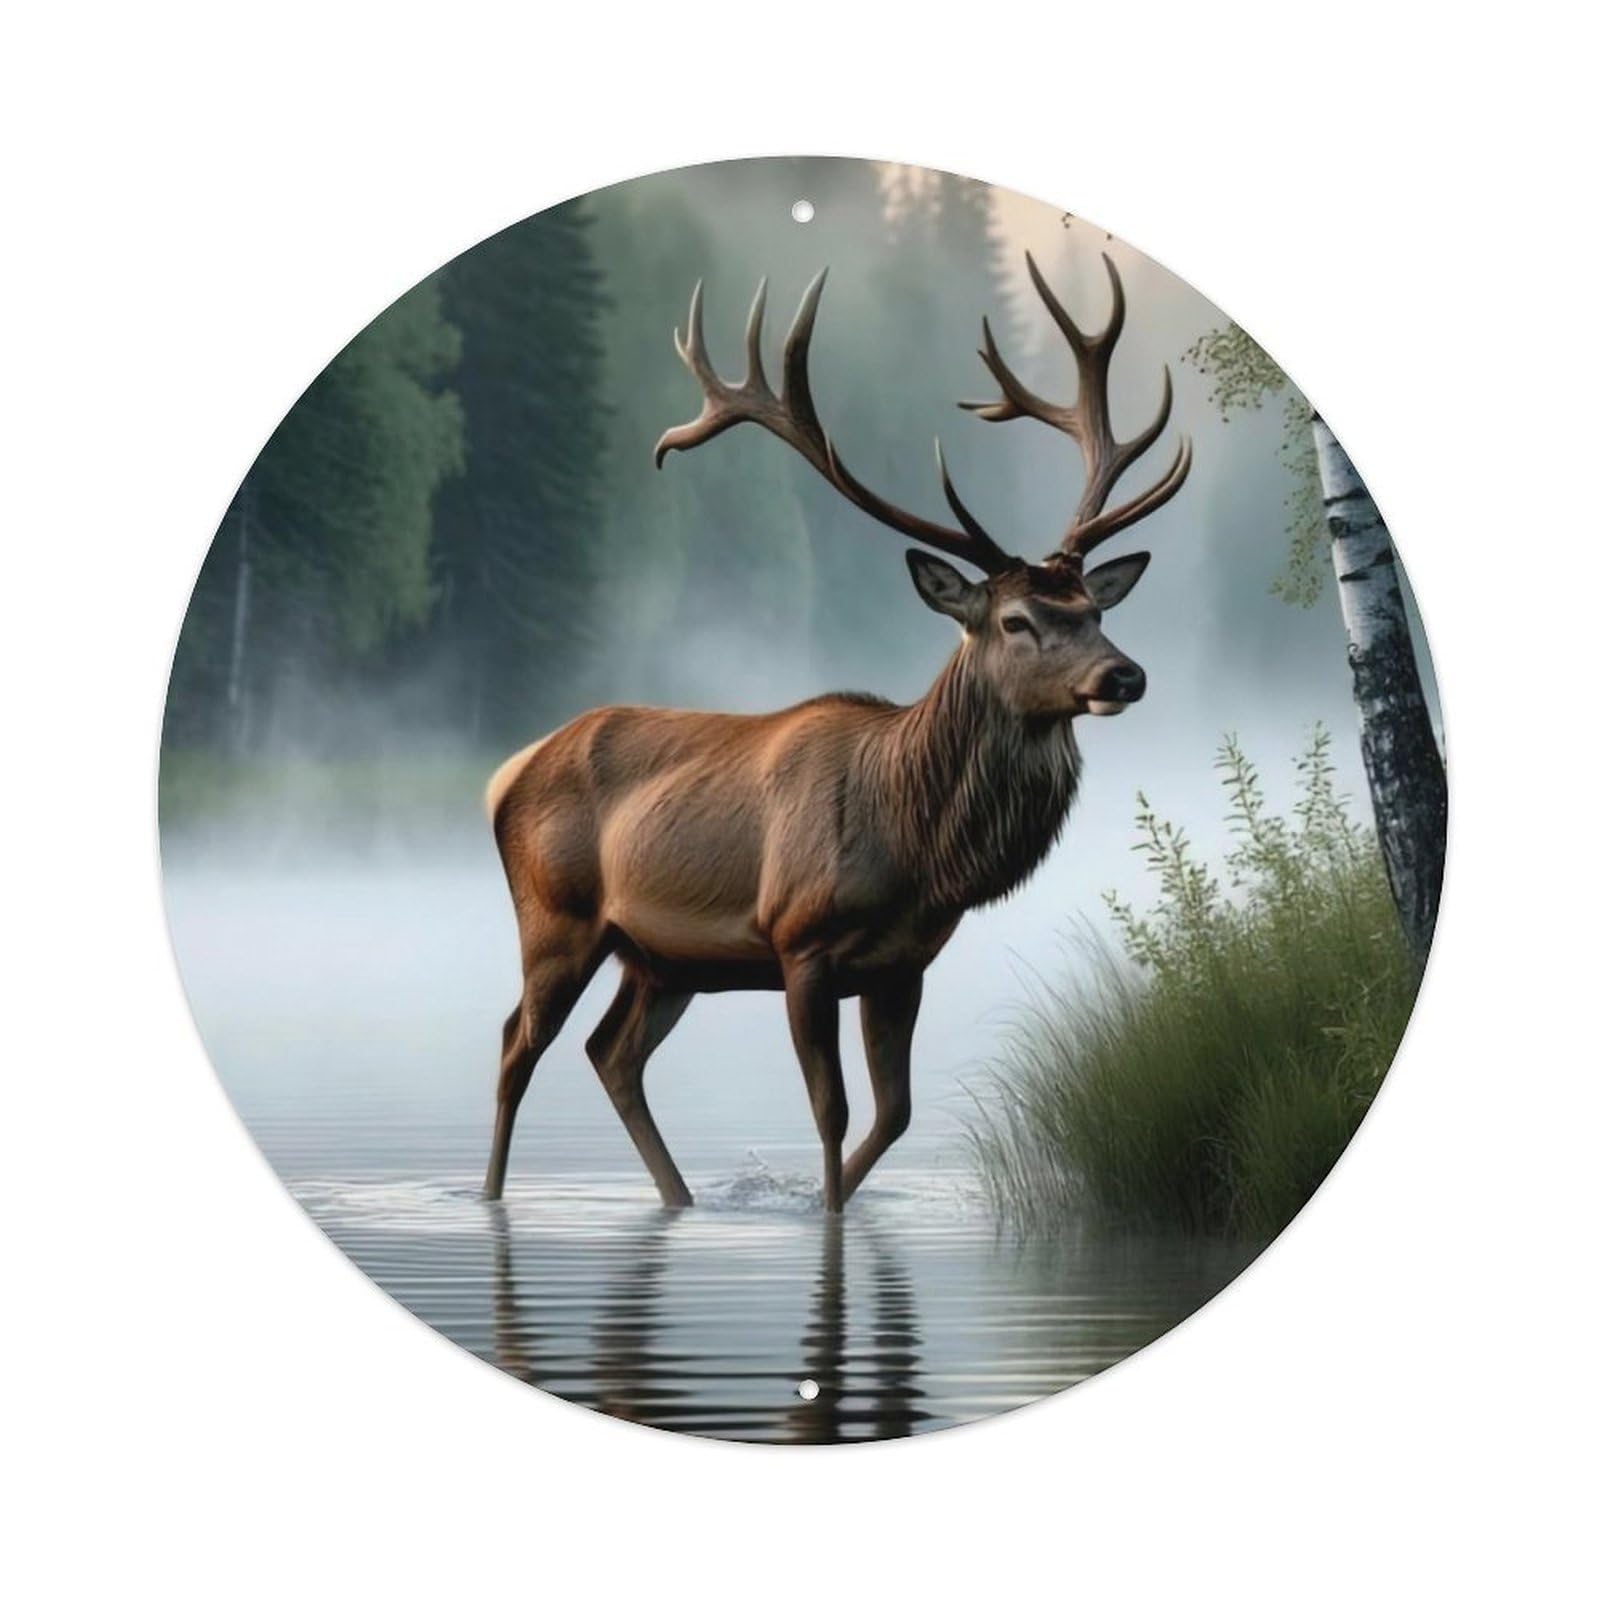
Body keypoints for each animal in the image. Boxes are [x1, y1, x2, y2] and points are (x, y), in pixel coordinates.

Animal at [482, 252, 1192, 1213]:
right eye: (1016, 620)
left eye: (1092, 609)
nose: (1125, 676)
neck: (920, 851)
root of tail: (507, 770)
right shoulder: (799, 940)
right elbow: (832, 1111)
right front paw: (820, 1214)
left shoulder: (904, 964)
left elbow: (893, 1115)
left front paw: (832, 1203)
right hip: (557, 917)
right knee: (517, 1045)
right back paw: (490, 1195)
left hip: (662, 958)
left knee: (611, 1053)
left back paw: (681, 1199)